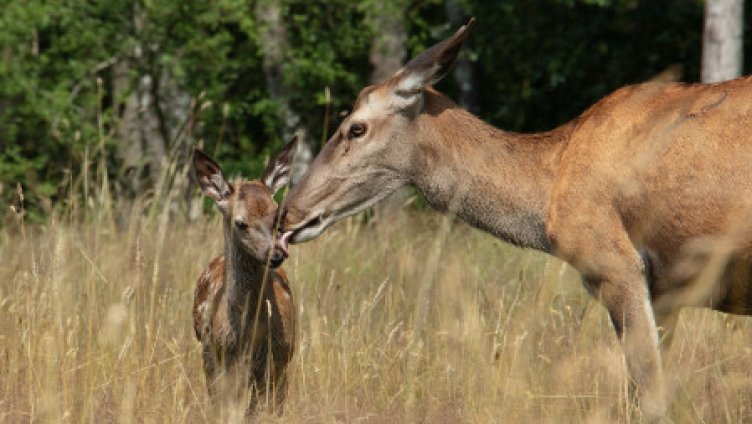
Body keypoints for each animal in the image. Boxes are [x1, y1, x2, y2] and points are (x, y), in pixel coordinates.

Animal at [192, 138, 296, 414]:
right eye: (241, 223)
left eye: (277, 215)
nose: (276, 254)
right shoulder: (220, 359)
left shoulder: (279, 360)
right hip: (207, 354)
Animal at [276, 18, 752, 420]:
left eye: (355, 128)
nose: (289, 213)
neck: (549, 191)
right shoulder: (668, 293)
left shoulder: (617, 264)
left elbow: (647, 395)